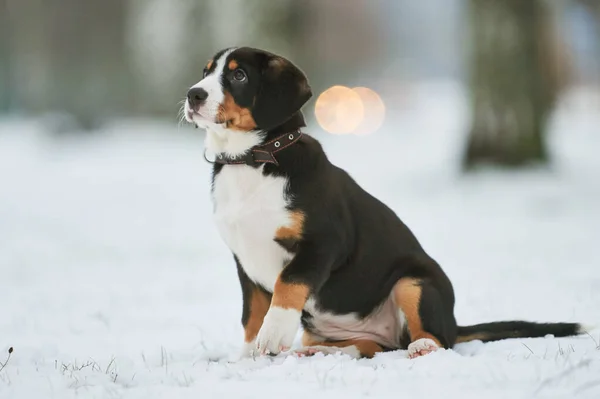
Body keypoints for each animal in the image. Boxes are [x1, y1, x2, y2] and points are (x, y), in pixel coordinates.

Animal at [184, 46, 584, 360]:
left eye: (238, 75)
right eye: (206, 72)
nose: (193, 95)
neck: (252, 161)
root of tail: (454, 323)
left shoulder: (324, 241)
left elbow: (287, 286)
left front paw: (272, 335)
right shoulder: (244, 261)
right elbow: (251, 314)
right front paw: (248, 357)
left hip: (414, 282)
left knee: (436, 340)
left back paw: (421, 346)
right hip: (341, 327)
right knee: (367, 347)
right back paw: (318, 351)